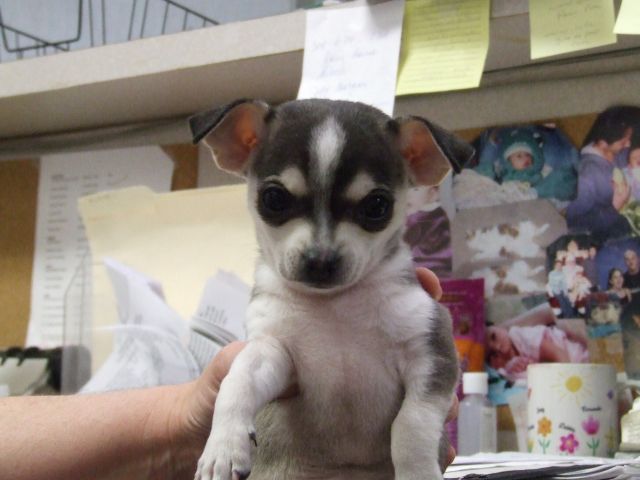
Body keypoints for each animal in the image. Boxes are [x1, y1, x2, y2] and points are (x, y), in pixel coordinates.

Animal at [189, 99, 472, 480]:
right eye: (274, 199)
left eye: (377, 206)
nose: (320, 260)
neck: (334, 306)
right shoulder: (272, 352)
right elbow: (237, 382)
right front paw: (223, 446)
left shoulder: (430, 349)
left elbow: (411, 425)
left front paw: (418, 472)